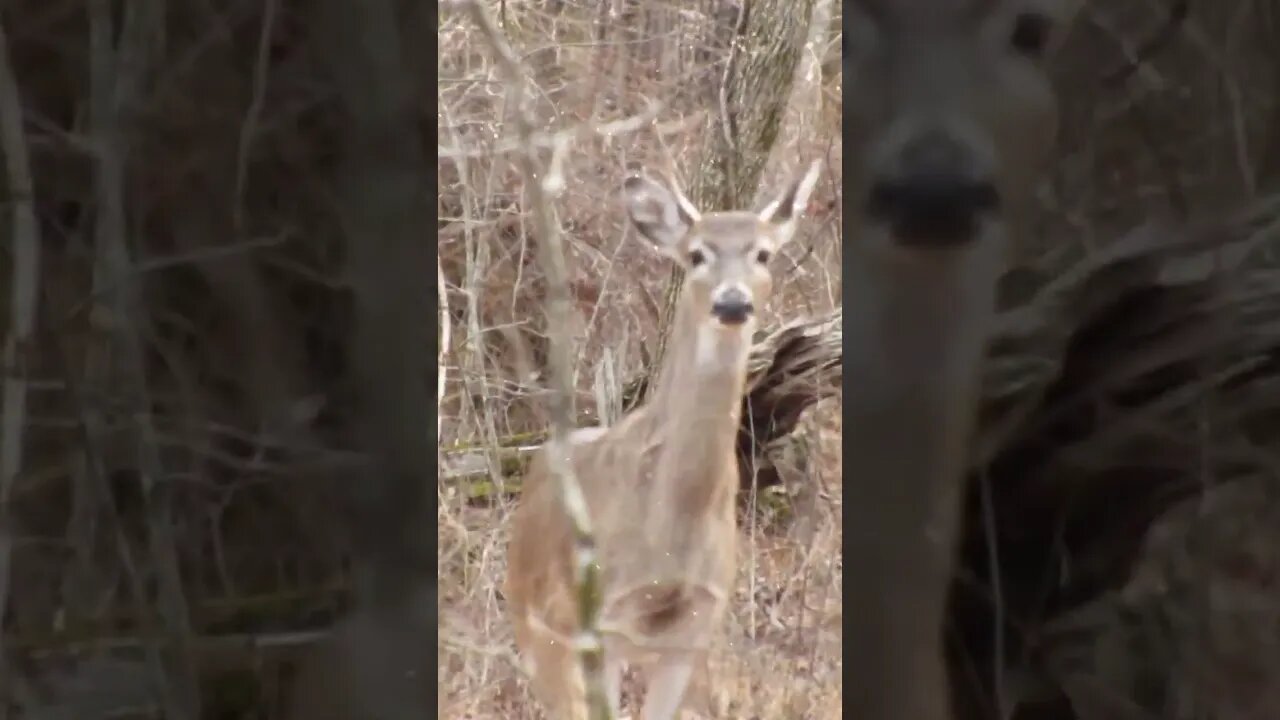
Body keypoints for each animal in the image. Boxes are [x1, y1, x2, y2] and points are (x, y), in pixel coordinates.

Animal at [501, 162, 819, 717]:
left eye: (763, 253)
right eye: (696, 255)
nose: (732, 303)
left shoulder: (694, 629)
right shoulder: (601, 618)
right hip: (536, 620)